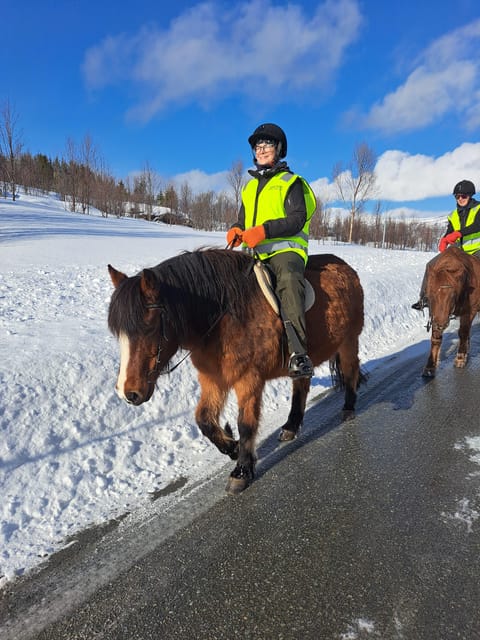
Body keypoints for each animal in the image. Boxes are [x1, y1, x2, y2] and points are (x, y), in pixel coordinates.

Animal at [108, 248, 364, 494]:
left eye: (149, 328)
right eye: (118, 333)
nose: (128, 393)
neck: (223, 317)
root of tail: (347, 269)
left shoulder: (249, 380)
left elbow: (246, 425)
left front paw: (241, 471)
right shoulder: (213, 379)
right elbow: (204, 419)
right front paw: (232, 447)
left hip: (349, 341)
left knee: (351, 371)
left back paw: (348, 409)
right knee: (301, 385)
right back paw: (291, 427)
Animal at [422, 245, 480, 377]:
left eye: (453, 295)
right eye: (431, 294)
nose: (441, 324)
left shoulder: (470, 310)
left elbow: (463, 332)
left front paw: (460, 358)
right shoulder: (435, 314)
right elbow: (436, 337)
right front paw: (430, 366)